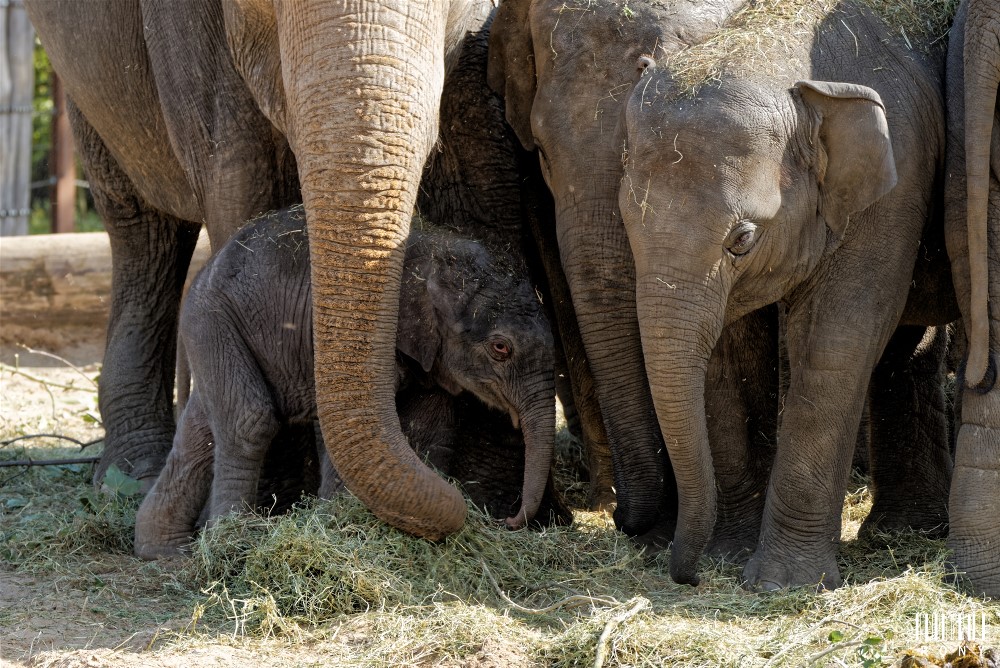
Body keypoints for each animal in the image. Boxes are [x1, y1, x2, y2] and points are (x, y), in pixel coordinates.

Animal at [131, 207, 564, 560]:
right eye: (500, 347)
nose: (509, 522)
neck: (439, 256)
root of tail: (204, 272)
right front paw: (344, 526)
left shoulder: (430, 360)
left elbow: (429, 429)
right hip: (212, 319)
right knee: (248, 420)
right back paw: (229, 542)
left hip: (211, 328)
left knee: (201, 430)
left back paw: (163, 551)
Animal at [612, 0, 956, 588]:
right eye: (627, 222)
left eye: (743, 239)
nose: (687, 574)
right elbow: (729, 354)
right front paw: (730, 557)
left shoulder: (895, 184)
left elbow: (835, 339)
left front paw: (782, 582)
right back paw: (903, 532)